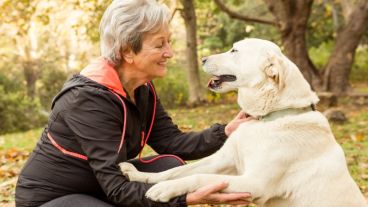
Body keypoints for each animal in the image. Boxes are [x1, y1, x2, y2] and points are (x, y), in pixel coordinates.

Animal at [119, 38, 366, 206]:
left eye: (234, 50)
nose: (203, 58)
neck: (267, 118)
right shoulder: (223, 159)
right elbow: (176, 171)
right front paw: (141, 176)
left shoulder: (253, 182)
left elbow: (199, 176)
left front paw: (165, 189)